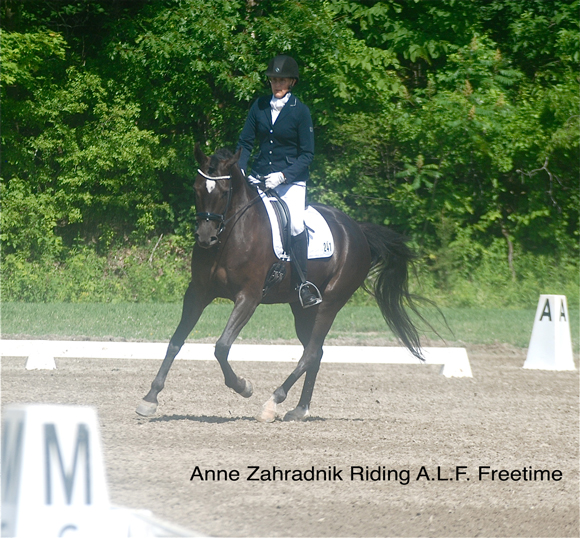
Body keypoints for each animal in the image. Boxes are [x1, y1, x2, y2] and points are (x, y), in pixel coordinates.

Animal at [136, 144, 426, 420]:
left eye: (225, 191)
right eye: (196, 188)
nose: (206, 238)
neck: (231, 236)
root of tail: (357, 230)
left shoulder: (248, 297)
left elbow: (221, 346)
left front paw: (244, 387)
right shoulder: (197, 292)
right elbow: (176, 341)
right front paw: (150, 398)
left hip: (330, 303)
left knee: (311, 352)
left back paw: (272, 402)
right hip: (301, 308)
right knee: (315, 352)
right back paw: (300, 410)